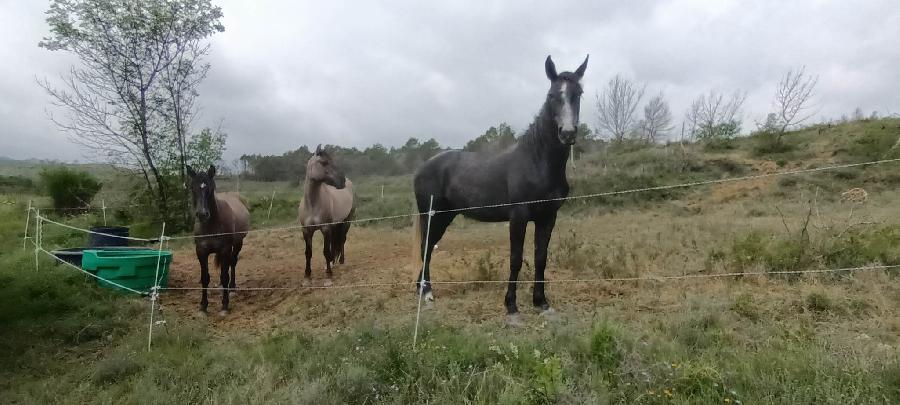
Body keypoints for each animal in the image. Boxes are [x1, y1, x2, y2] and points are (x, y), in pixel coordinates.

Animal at [186, 163, 250, 314]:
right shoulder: (201, 251)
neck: (211, 225)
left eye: (210, 188)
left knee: (232, 263)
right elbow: (204, 277)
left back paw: (231, 287)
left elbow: (225, 275)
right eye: (192, 188)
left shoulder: (225, 249)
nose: (202, 214)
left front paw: (225, 305)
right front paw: (203, 306)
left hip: (238, 243)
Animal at [296, 144, 352, 286]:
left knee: (342, 240)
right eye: (324, 163)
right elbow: (308, 253)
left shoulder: (325, 228)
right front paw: (307, 277)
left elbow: (325, 251)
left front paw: (328, 277)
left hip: (347, 221)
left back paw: (341, 262)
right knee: (335, 242)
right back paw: (332, 263)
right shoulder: (306, 230)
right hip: (335, 225)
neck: (312, 204)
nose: (342, 180)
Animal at [414, 54, 588, 322]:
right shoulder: (518, 217)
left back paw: (421, 290)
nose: (567, 133)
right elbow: (516, 259)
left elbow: (541, 258)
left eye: (578, 93)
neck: (537, 161)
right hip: (433, 216)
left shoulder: (548, 217)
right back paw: (428, 295)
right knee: (426, 248)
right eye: (551, 95)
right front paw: (511, 306)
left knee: (427, 248)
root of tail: (422, 167)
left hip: (445, 217)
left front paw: (541, 302)